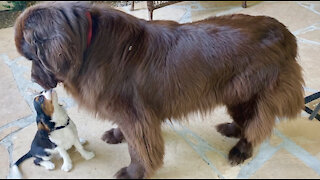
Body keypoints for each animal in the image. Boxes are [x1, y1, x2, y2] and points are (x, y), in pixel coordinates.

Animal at [14, 1, 304, 179]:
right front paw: (116, 135)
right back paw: (232, 129)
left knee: (258, 122)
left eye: (32, 57)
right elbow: (128, 134)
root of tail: (285, 33)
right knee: (250, 120)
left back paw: (241, 149)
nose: (33, 79)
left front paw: (133, 172)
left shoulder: (135, 114)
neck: (87, 44)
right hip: (236, 93)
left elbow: (138, 148)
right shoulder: (129, 112)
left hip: (252, 91)